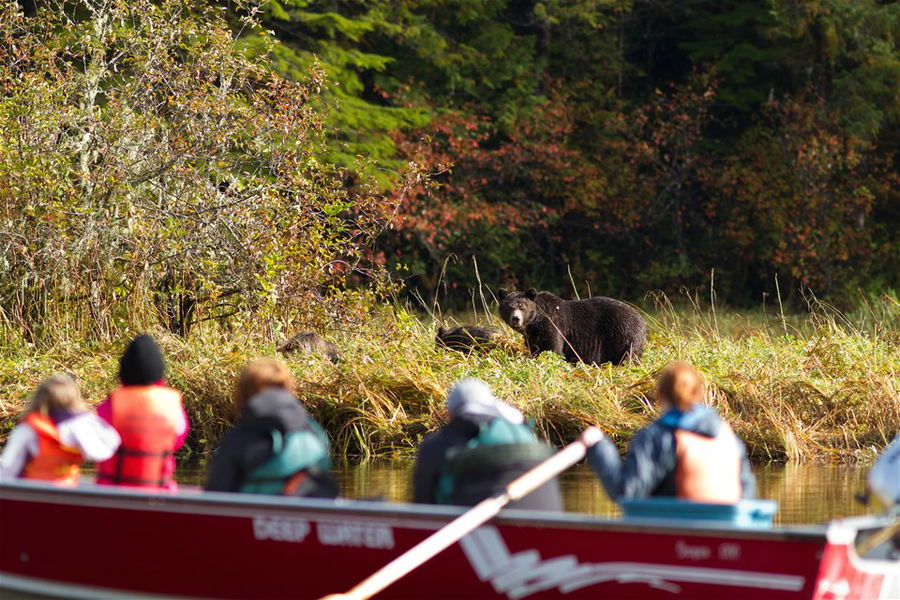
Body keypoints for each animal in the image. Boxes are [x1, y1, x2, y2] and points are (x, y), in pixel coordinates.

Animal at [496, 288, 644, 364]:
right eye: (509, 307)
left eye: (522, 307)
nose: (516, 319)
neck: (535, 322)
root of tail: (641, 318)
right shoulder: (533, 335)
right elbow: (536, 349)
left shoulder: (554, 325)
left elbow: (553, 349)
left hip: (623, 333)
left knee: (628, 355)